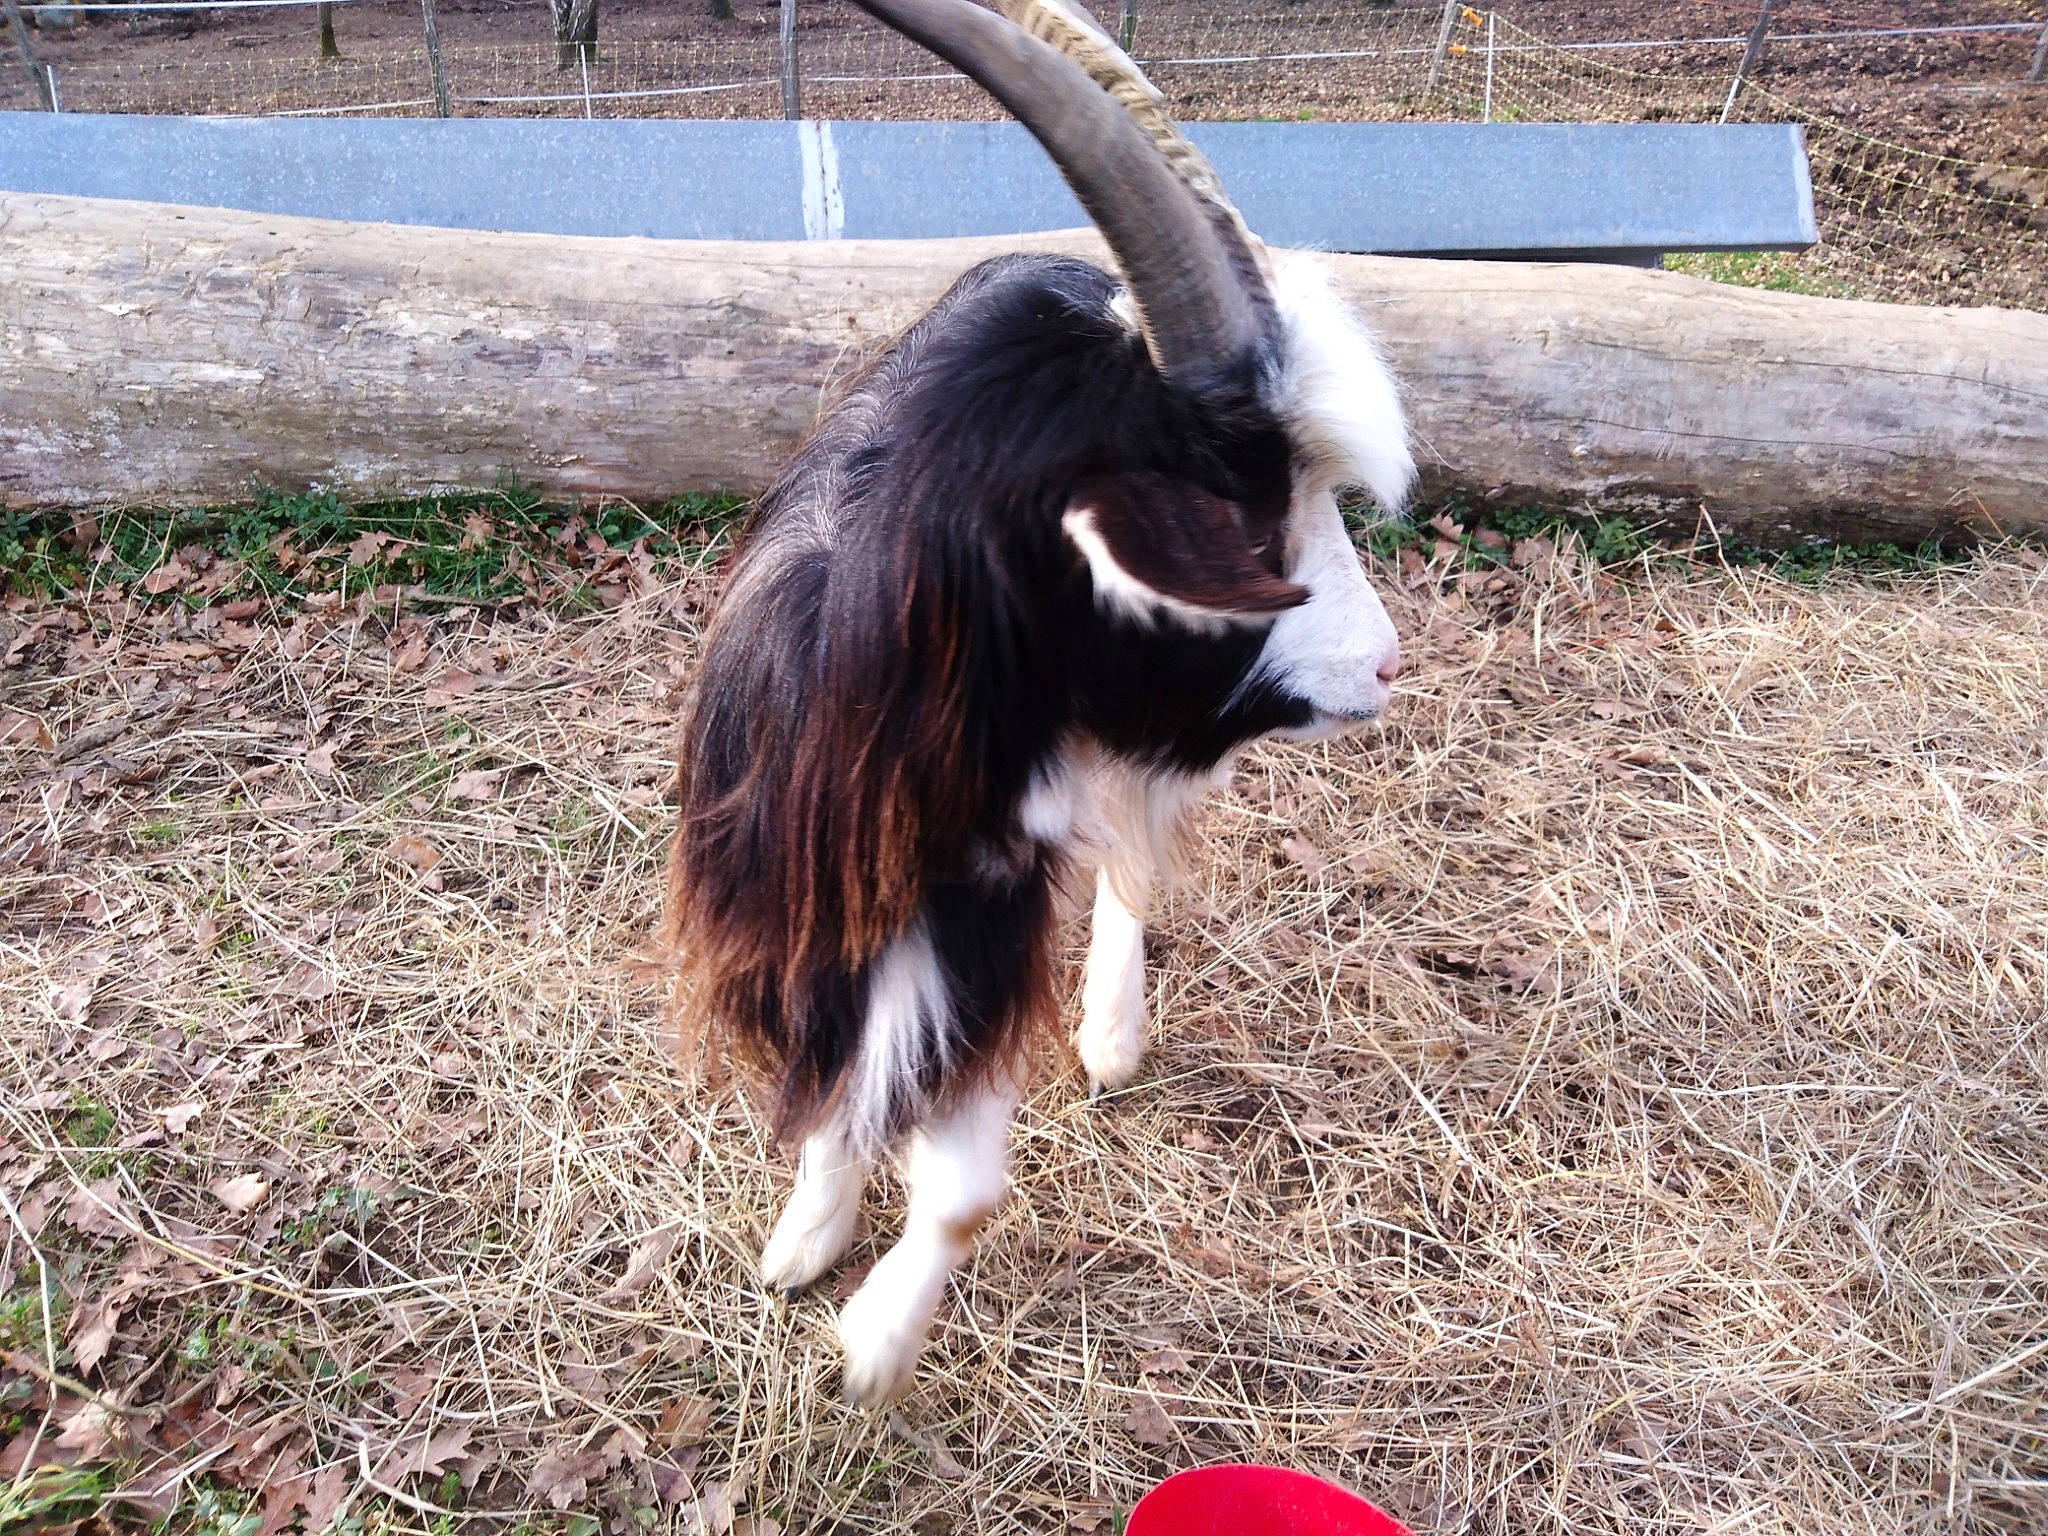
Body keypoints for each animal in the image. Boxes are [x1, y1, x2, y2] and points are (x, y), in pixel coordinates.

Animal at [666, 0, 1413, 1405]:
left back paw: (1111, 1034)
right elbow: (840, 1081)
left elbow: (960, 1185)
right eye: (1247, 520)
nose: (1384, 665)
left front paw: (870, 1346)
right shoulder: (810, 899)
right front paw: (805, 1238)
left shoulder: (990, 911)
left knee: (1136, 857)